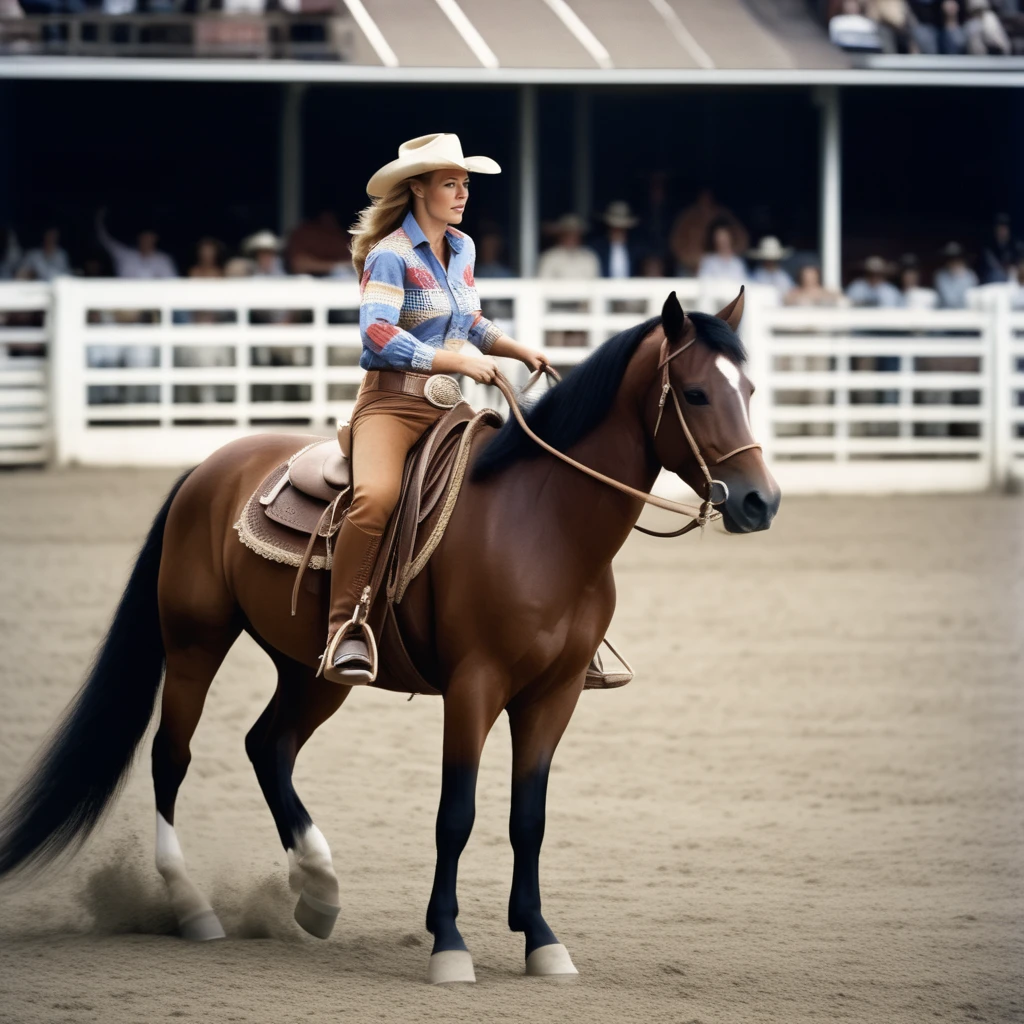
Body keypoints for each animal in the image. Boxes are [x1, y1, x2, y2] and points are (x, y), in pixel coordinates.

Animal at [0, 290, 778, 983]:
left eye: (749, 386)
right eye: (698, 393)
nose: (760, 501)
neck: (543, 522)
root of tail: (207, 469)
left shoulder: (554, 695)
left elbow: (528, 818)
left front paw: (542, 941)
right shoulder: (473, 686)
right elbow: (456, 813)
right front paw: (450, 944)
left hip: (314, 670)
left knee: (268, 746)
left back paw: (318, 890)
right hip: (195, 642)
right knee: (172, 756)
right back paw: (196, 907)